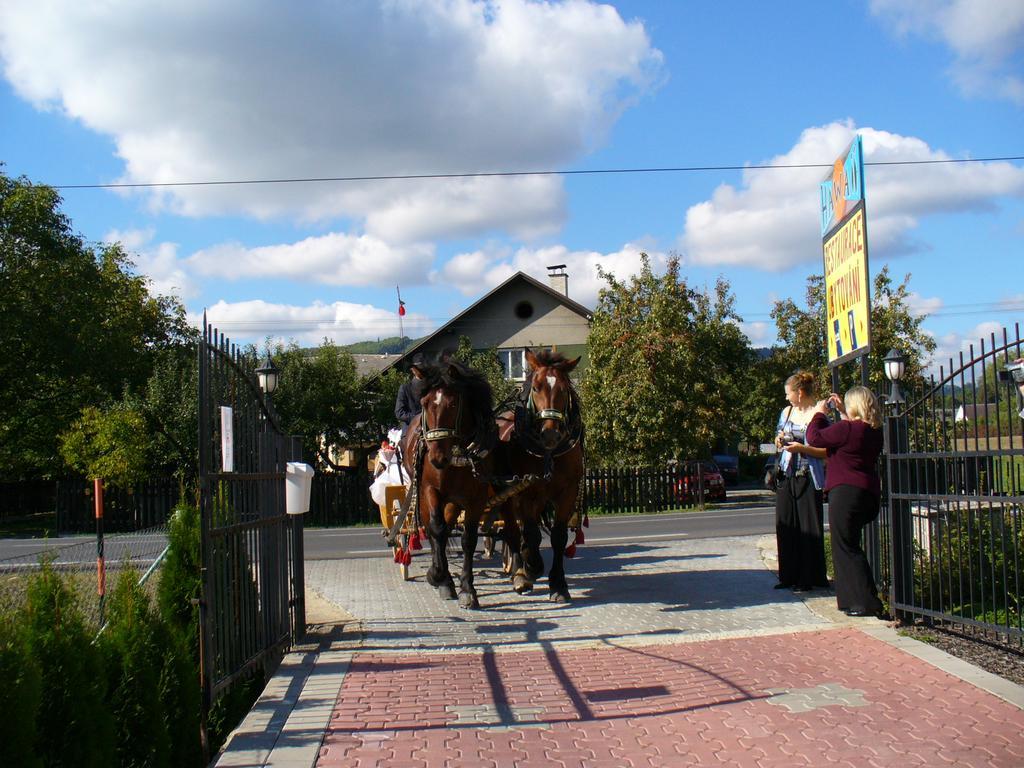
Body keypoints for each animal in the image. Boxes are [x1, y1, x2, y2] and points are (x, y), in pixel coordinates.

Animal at [399, 360, 495, 606]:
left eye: (453, 404)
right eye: (425, 403)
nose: (436, 458)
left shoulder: (476, 497)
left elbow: (468, 539)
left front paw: (467, 588)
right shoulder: (430, 490)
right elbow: (436, 530)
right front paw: (439, 576)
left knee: (448, 526)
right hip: (424, 494)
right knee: (433, 529)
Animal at [495, 346, 585, 606]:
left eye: (564, 389)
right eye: (535, 387)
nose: (550, 434)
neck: (548, 452)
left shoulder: (568, 491)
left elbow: (558, 536)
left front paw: (559, 584)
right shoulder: (526, 492)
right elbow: (531, 533)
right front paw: (532, 567)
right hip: (507, 496)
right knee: (512, 530)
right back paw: (520, 572)